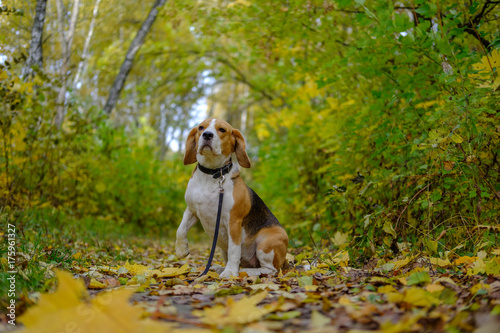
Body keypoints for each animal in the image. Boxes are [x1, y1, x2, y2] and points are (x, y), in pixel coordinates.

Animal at [175, 118, 288, 276]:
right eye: (201, 127)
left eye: (222, 130)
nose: (207, 135)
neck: (211, 174)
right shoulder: (192, 210)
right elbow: (180, 229)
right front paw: (181, 249)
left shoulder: (233, 221)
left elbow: (234, 249)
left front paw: (229, 273)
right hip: (223, 247)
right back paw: (220, 268)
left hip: (266, 242)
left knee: (269, 269)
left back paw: (244, 271)